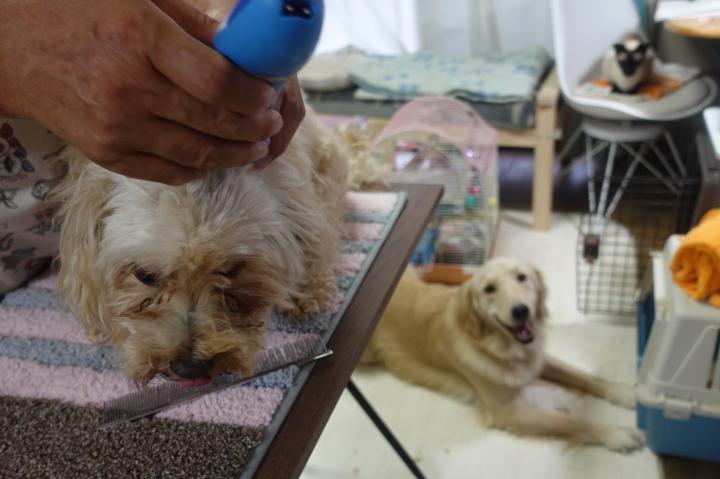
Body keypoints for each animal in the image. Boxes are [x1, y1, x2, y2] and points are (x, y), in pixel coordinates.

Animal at [362, 257, 645, 452]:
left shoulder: (537, 357)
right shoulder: (506, 412)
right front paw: (616, 434)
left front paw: (621, 392)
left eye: (522, 277)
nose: (521, 310)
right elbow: (568, 422)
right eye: (489, 289)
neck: (499, 345)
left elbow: (581, 375)